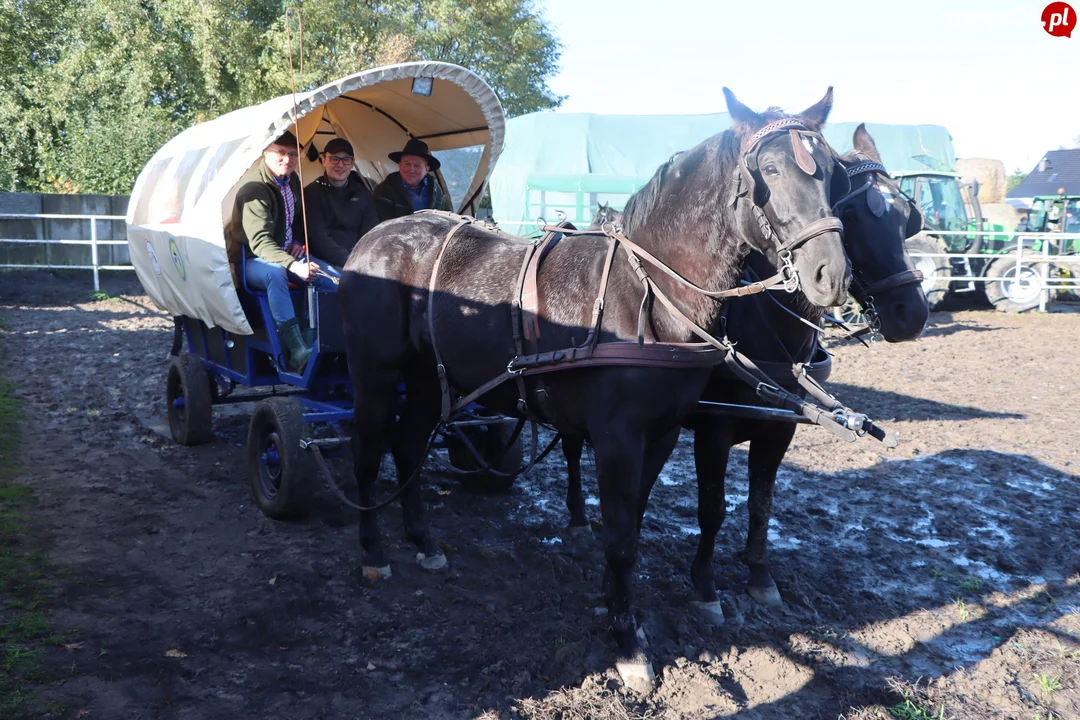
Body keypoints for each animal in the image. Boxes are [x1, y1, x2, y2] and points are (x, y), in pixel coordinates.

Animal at [336, 87, 851, 690]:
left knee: (409, 442)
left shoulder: (663, 433)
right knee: (369, 450)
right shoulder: (618, 439)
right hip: (374, 374)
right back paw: (373, 549)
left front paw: (612, 601)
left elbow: (633, 522)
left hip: (425, 375)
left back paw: (422, 540)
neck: (645, 292)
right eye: (769, 169)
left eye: (833, 173)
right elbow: (623, 537)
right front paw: (628, 644)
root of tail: (376, 237)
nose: (830, 275)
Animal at [565, 124, 928, 626]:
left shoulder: (778, 429)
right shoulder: (712, 430)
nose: (912, 313)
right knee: (571, 447)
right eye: (851, 211)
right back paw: (579, 516)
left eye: (907, 217)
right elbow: (712, 509)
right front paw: (705, 586)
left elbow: (761, 503)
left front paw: (759, 576)